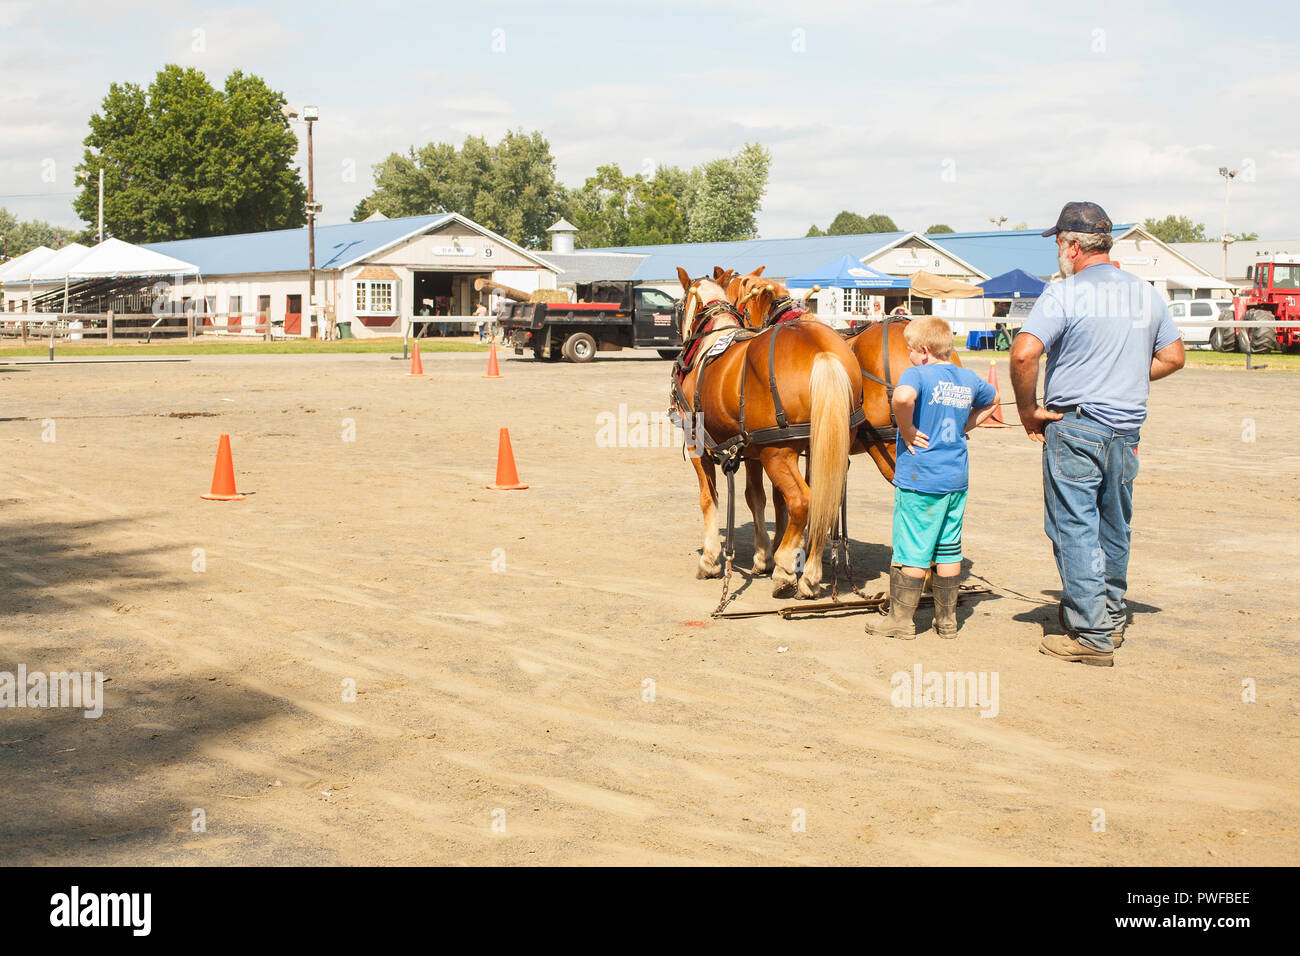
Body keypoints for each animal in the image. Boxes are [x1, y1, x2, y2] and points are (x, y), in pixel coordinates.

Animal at [670, 269, 863, 598]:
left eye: (679, 306)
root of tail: (822, 353)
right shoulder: (753, 452)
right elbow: (756, 497)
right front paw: (763, 555)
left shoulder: (698, 446)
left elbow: (709, 498)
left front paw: (710, 560)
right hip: (824, 446)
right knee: (824, 501)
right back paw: (809, 574)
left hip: (779, 455)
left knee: (802, 500)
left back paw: (786, 567)